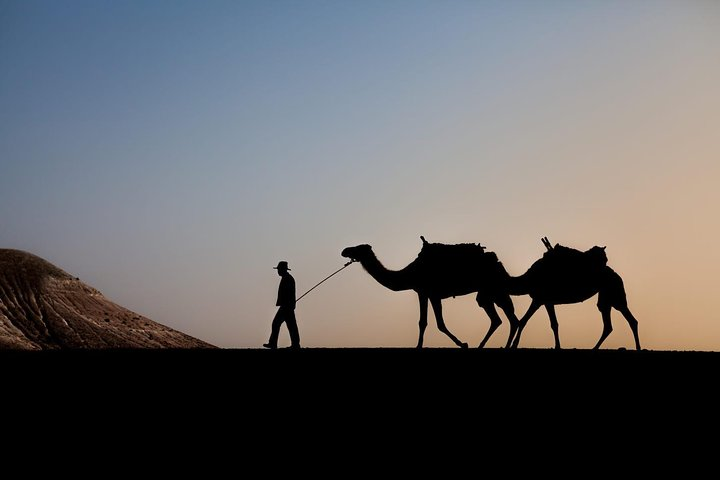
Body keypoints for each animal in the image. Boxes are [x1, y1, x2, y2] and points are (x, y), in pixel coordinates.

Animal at [341, 237, 519, 348]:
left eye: (358, 248)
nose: (344, 250)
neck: (409, 274)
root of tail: (497, 261)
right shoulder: (424, 293)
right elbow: (425, 322)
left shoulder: (430, 293)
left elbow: (436, 323)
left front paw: (462, 344)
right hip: (490, 291)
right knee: (502, 318)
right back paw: (490, 345)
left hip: (493, 288)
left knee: (507, 317)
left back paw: (502, 346)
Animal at [508, 237, 641, 350]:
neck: (529, 279)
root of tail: (617, 276)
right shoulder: (547, 301)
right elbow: (554, 324)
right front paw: (557, 347)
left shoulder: (539, 299)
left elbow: (523, 320)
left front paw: (514, 345)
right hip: (607, 297)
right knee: (613, 323)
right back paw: (596, 348)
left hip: (614, 294)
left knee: (626, 319)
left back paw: (636, 347)